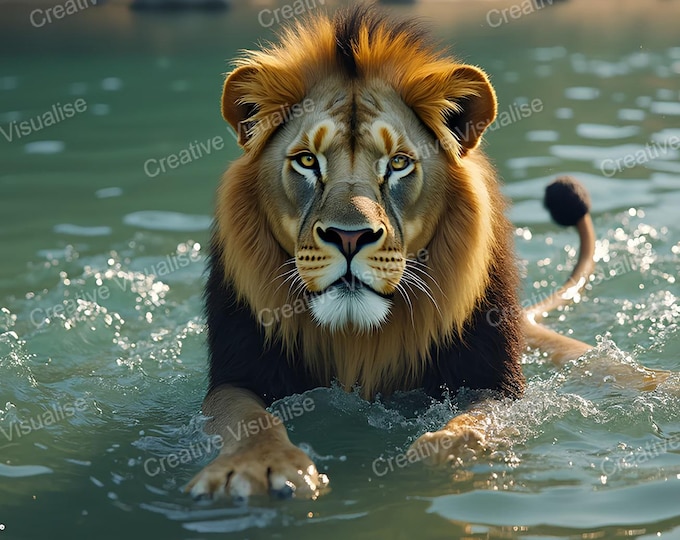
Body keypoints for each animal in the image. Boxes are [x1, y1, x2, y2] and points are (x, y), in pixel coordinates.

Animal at [186, 6, 669, 500]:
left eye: (398, 163)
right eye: (307, 161)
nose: (349, 237)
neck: (358, 338)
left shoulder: (494, 384)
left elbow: (478, 422)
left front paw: (439, 456)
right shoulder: (237, 375)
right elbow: (249, 420)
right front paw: (255, 467)